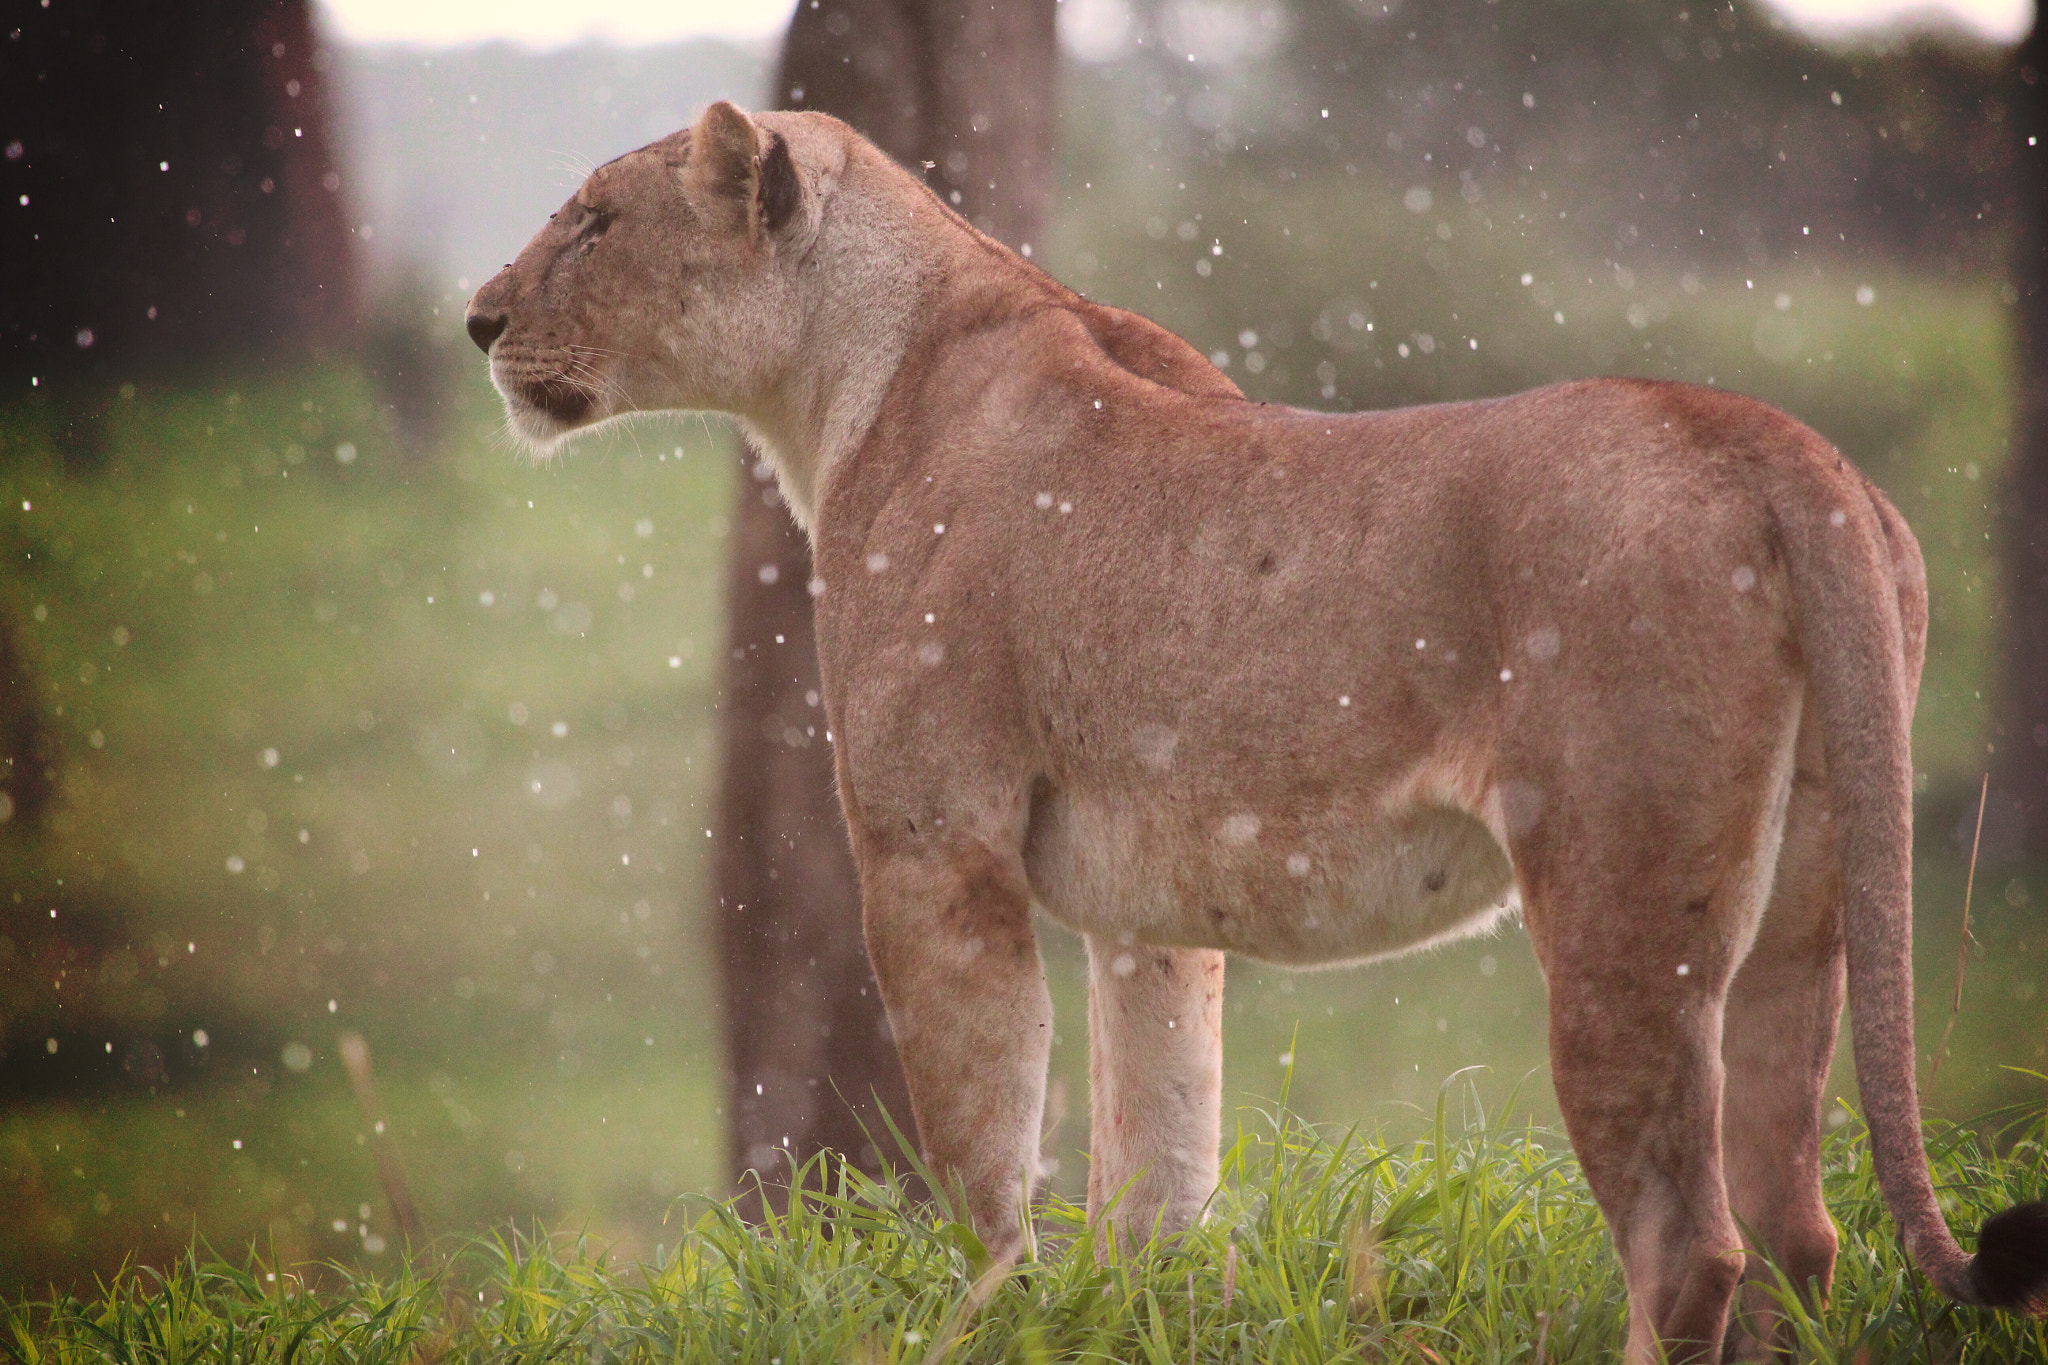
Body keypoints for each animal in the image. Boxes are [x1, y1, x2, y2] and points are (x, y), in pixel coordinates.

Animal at [466, 102, 2048, 1361]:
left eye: (596, 221)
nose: (477, 319)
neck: (848, 378)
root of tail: (1779, 447)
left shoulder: (933, 850)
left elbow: (982, 1151)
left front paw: (982, 1320)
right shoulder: (1149, 916)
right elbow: (1155, 1162)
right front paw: (1131, 1315)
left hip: (1620, 907)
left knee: (1689, 1242)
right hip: (1802, 909)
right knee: (1794, 1227)